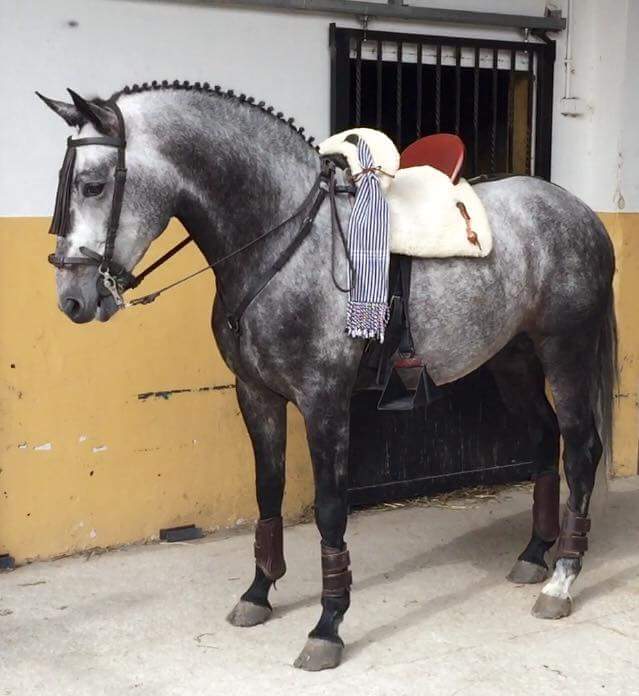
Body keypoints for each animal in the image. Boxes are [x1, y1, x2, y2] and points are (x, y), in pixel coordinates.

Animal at [37, 81, 616, 671]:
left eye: (92, 185)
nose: (73, 300)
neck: (284, 244)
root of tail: (582, 213)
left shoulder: (324, 401)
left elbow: (331, 508)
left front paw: (328, 625)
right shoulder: (257, 395)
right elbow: (267, 491)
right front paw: (258, 594)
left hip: (566, 354)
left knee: (581, 449)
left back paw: (562, 580)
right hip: (513, 361)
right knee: (545, 439)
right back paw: (534, 554)